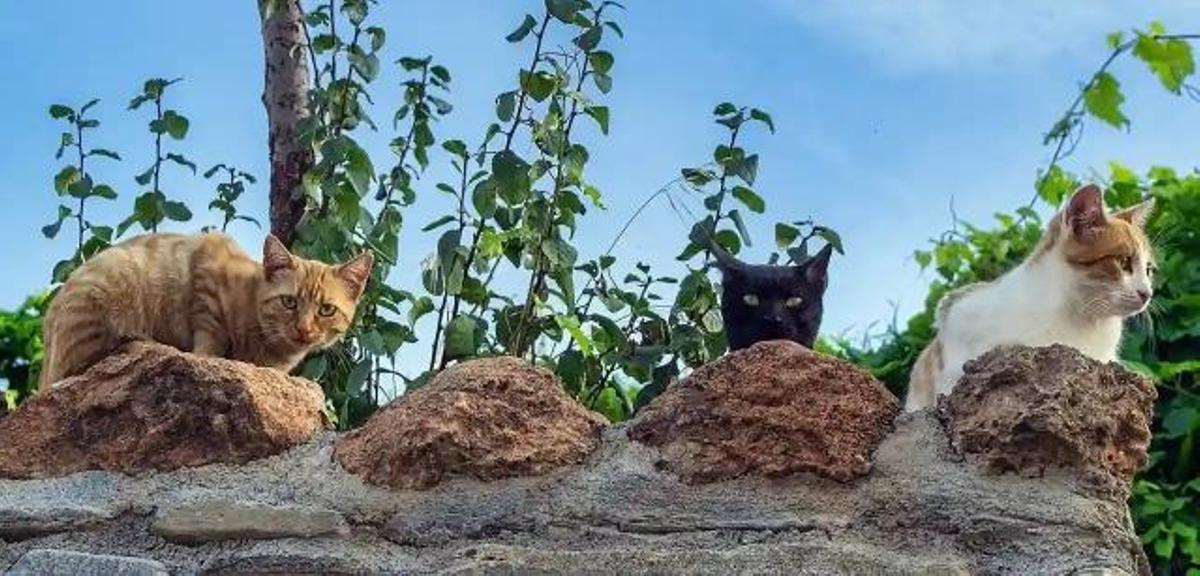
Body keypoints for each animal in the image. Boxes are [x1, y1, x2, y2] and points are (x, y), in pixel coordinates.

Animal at [41, 231, 369, 388]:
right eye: (289, 302)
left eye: (326, 309)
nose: (304, 329)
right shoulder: (208, 273)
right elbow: (210, 336)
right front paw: (210, 361)